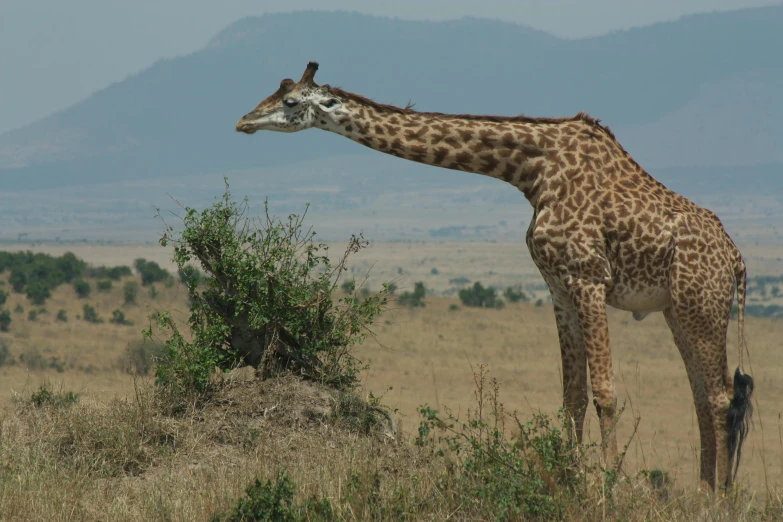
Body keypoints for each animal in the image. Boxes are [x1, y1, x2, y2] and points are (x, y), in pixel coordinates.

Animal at [236, 63, 756, 490]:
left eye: (289, 101)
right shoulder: (558, 287)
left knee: (719, 397)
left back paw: (716, 500)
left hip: (701, 304)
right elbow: (572, 395)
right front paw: (571, 482)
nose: (243, 121)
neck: (530, 170)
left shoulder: (588, 277)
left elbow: (605, 391)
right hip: (677, 310)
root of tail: (736, 258)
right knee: (701, 395)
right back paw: (703, 491)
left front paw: (610, 490)